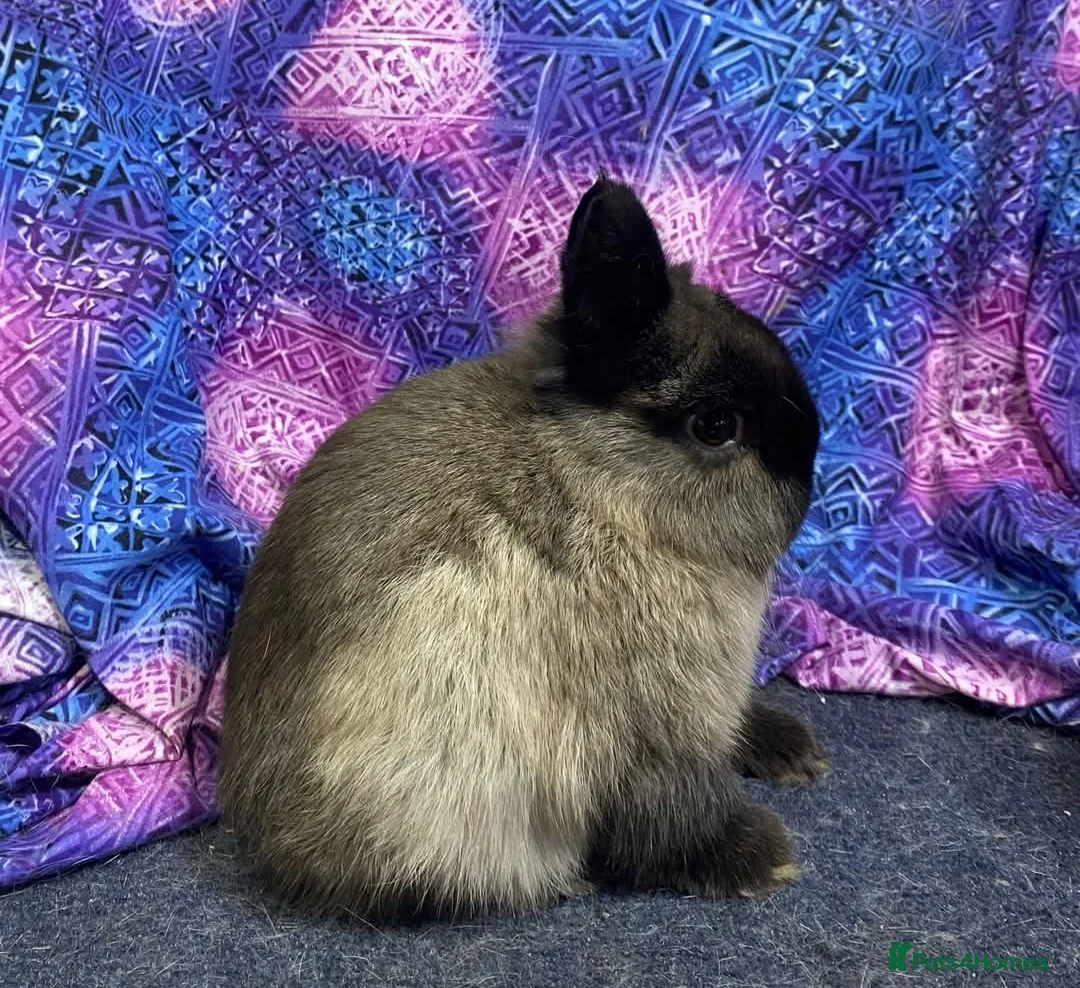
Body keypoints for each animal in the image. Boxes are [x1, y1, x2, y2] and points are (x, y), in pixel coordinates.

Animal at [218, 175, 828, 921]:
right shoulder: (650, 731)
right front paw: (762, 858)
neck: (604, 485)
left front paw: (793, 753)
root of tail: (263, 828)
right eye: (716, 427)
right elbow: (670, 810)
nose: (809, 480)